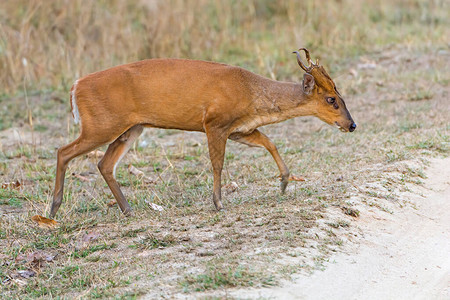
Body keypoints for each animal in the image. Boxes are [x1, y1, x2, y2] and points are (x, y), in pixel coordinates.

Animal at [49, 48, 356, 219]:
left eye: (340, 95)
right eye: (331, 99)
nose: (351, 125)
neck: (251, 93)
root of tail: (76, 86)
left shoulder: (239, 129)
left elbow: (269, 142)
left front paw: (283, 182)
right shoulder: (214, 122)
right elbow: (217, 164)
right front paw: (218, 203)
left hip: (131, 127)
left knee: (104, 163)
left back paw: (128, 209)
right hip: (100, 124)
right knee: (64, 151)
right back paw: (54, 208)